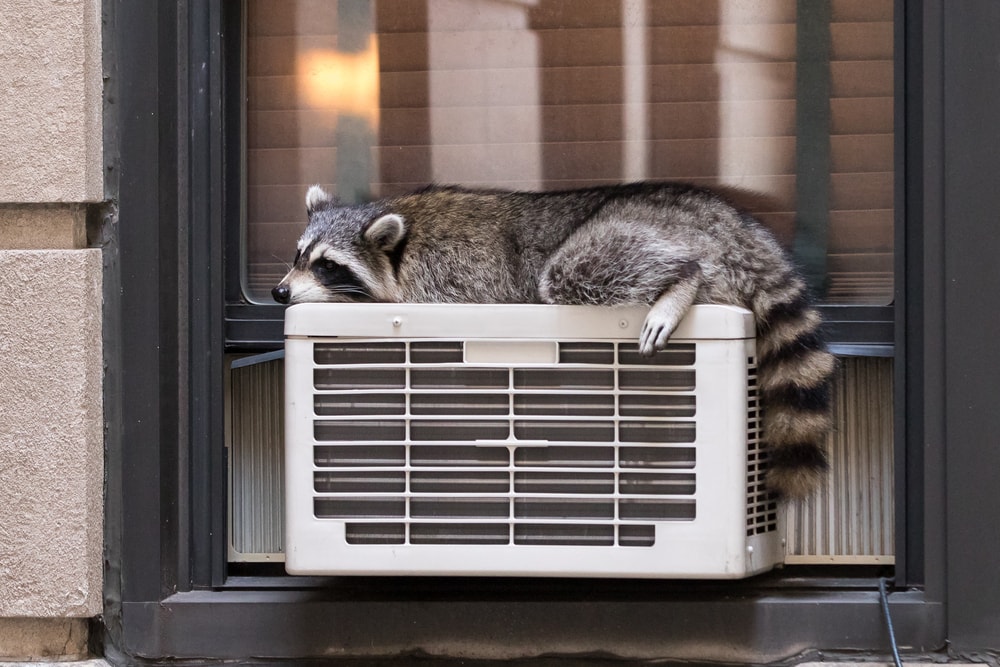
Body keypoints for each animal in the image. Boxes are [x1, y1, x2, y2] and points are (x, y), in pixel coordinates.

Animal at [274, 183, 836, 500]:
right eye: (299, 255)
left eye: (327, 265)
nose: (280, 292)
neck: (400, 238)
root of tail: (733, 225)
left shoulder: (451, 275)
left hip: (636, 234)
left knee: (574, 270)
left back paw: (681, 281)